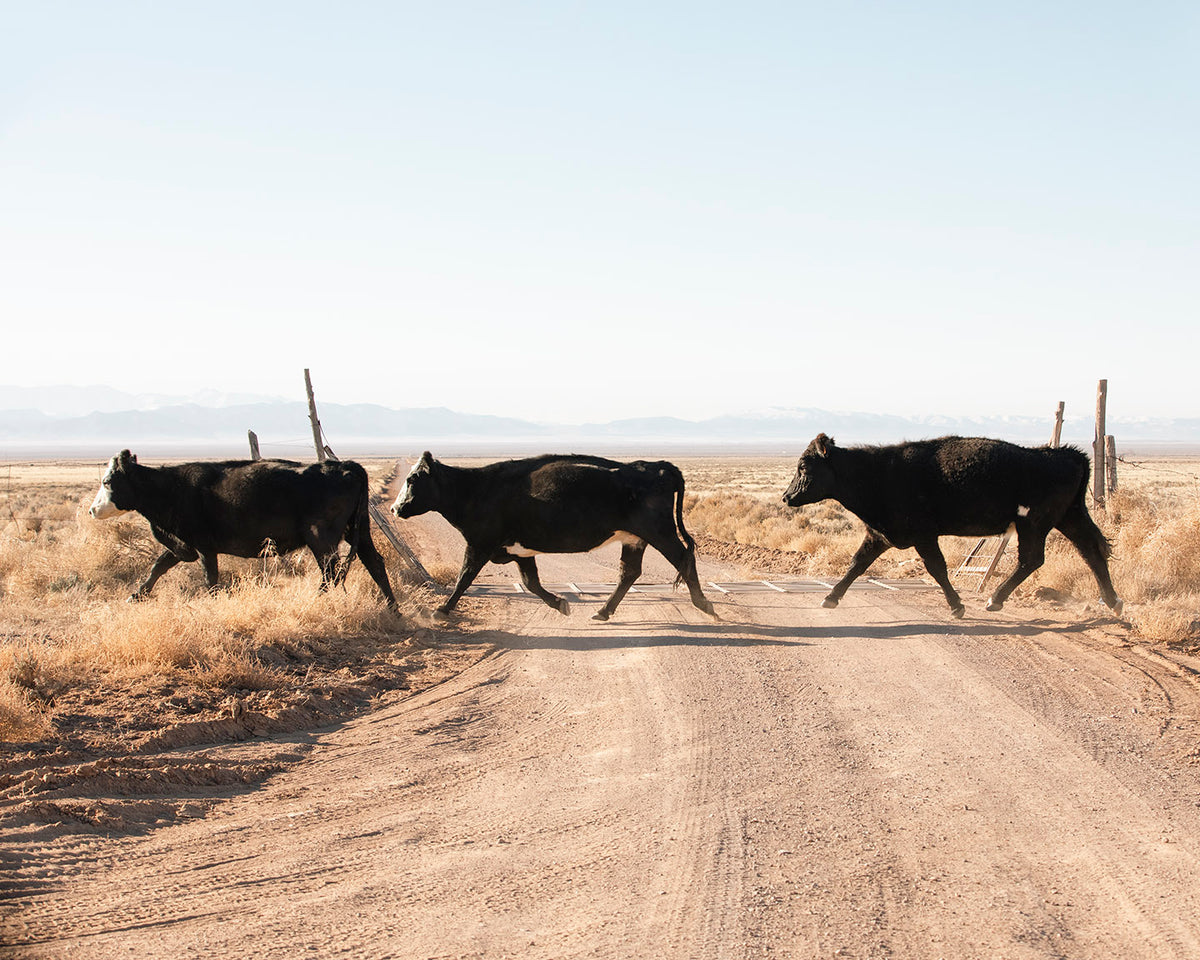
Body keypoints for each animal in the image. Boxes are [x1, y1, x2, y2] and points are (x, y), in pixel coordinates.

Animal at [90, 451, 398, 607]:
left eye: (107, 481)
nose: (92, 510)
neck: (170, 488)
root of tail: (346, 466)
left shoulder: (203, 546)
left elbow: (210, 578)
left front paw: (213, 603)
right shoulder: (183, 545)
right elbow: (158, 566)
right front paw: (137, 595)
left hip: (321, 537)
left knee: (331, 571)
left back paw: (319, 600)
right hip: (357, 529)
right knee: (373, 562)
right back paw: (392, 608)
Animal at [391, 451, 710, 624]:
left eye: (412, 479)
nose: (395, 508)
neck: (476, 489)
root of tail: (657, 465)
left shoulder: (479, 544)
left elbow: (464, 578)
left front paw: (441, 610)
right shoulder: (520, 551)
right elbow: (531, 582)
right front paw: (560, 603)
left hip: (660, 532)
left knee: (683, 558)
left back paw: (705, 605)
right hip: (634, 538)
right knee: (629, 572)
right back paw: (603, 611)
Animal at [782, 432, 1118, 619]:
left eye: (804, 467)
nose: (787, 497)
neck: (878, 474)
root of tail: (1063, 454)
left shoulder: (923, 535)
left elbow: (937, 569)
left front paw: (957, 606)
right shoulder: (879, 535)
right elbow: (856, 564)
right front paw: (831, 597)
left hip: (1033, 523)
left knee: (1032, 559)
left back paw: (995, 599)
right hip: (1069, 516)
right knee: (1091, 550)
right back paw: (1114, 601)